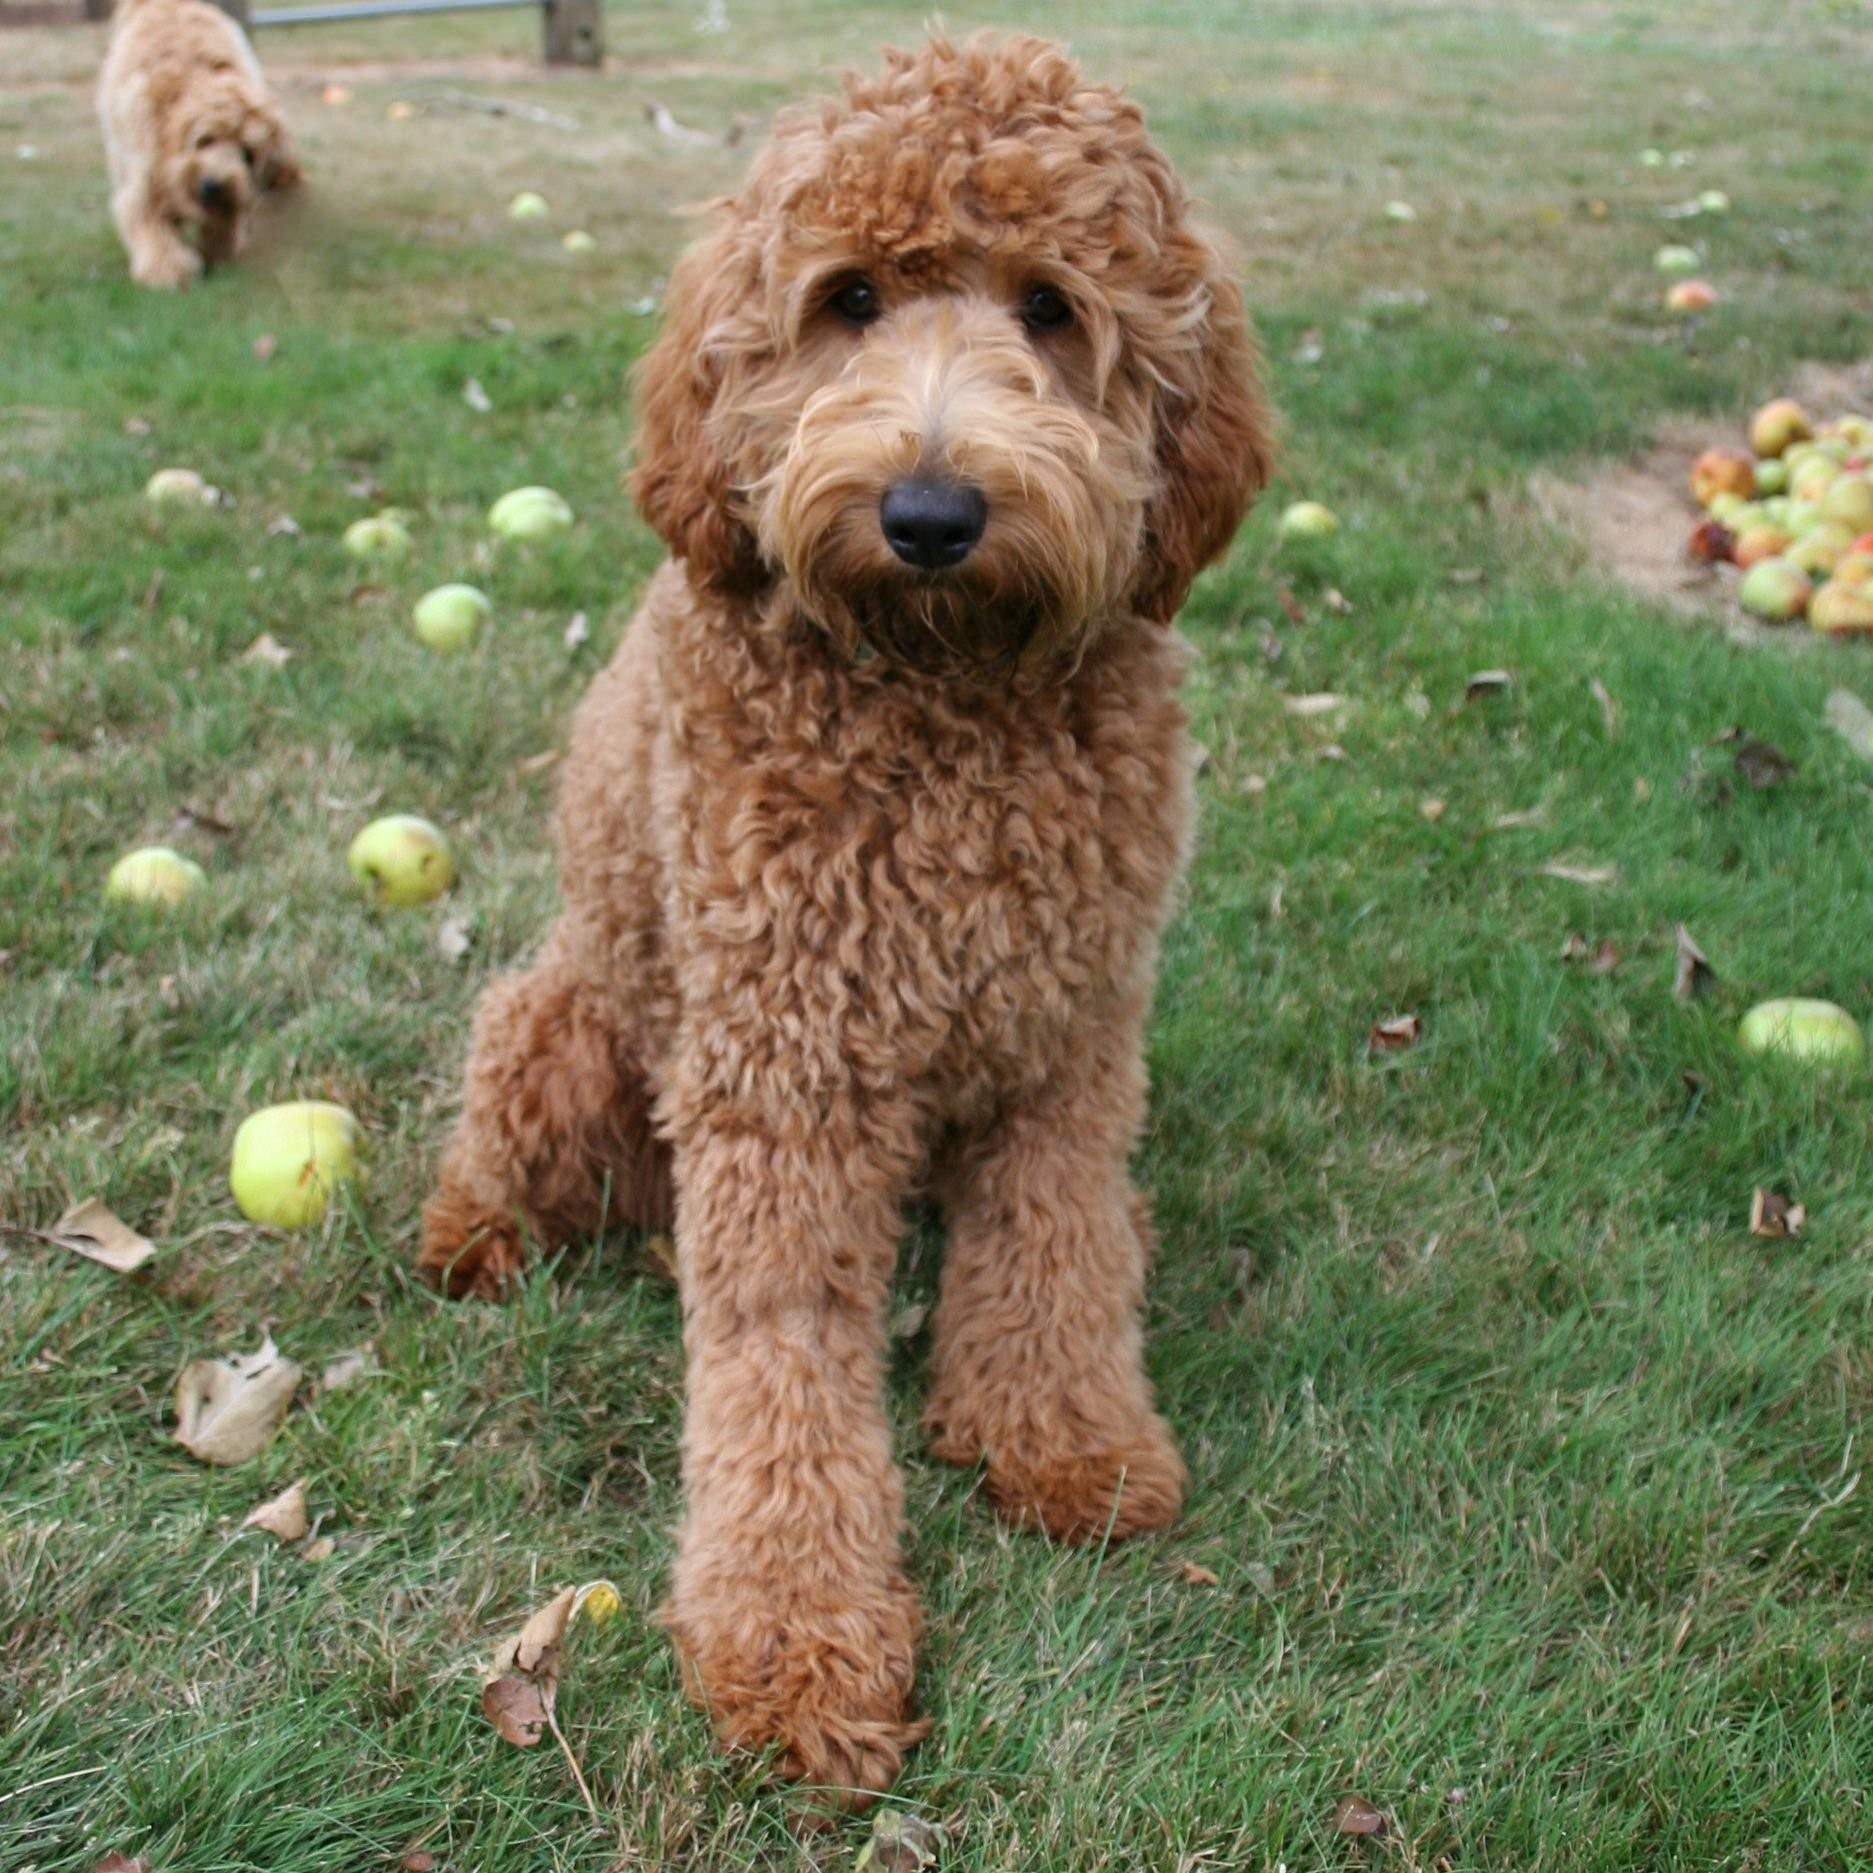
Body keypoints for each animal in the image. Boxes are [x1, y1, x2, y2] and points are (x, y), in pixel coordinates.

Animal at [96, 0, 295, 288]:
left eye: (248, 154)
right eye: (205, 140)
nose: (214, 186)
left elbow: (225, 218)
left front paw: (218, 253)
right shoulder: (146, 175)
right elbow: (147, 218)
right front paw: (168, 269)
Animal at [421, 33, 1273, 1798]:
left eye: (1048, 307)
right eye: (850, 297)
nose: (931, 512)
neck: (940, 690)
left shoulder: (1069, 1038)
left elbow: (1057, 1248)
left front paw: (1063, 1438)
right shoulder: (786, 1075)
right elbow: (783, 1370)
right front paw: (794, 1639)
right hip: (568, 1024)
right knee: (504, 1135)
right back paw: (474, 1233)